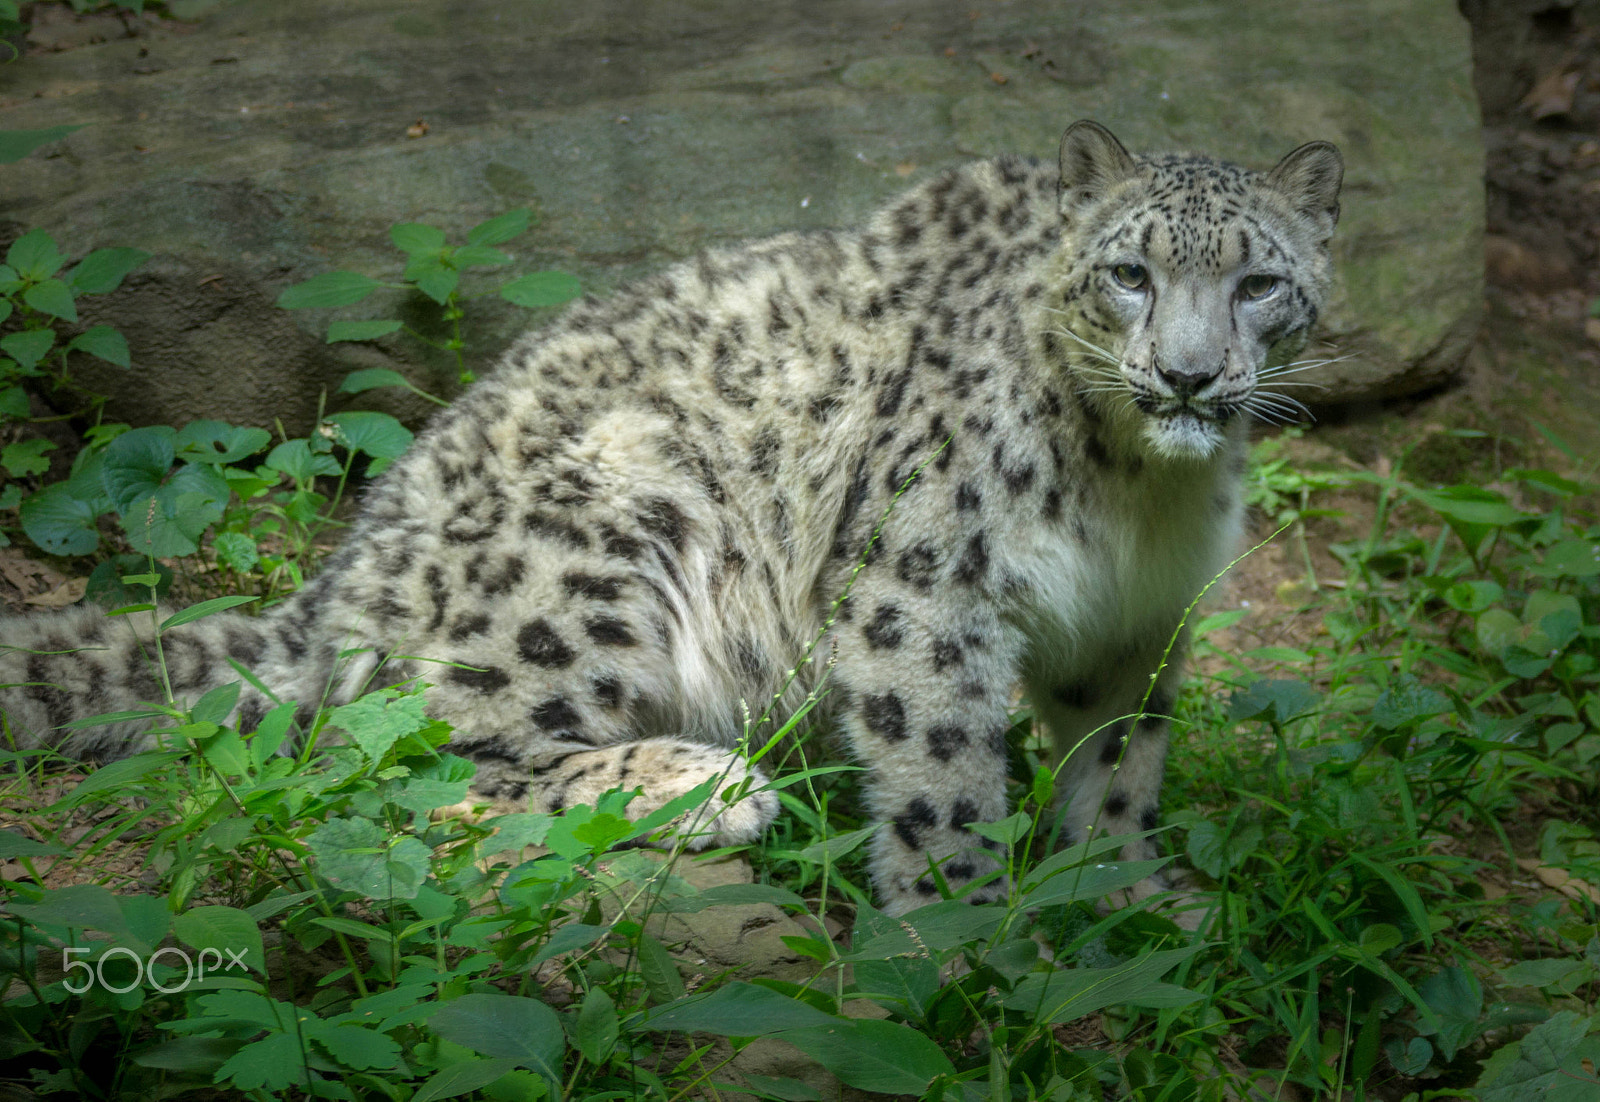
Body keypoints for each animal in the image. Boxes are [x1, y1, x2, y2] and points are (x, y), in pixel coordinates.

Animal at [3, 118, 1337, 908]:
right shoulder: (920, 589)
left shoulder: (1133, 620)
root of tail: (334, 584)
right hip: (595, 541)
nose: (1187, 375)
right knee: (396, 755)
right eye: (1130, 273)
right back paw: (702, 787)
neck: (1137, 491)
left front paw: (1132, 899)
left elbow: (1119, 765)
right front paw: (961, 935)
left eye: (1260, 282)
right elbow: (942, 768)